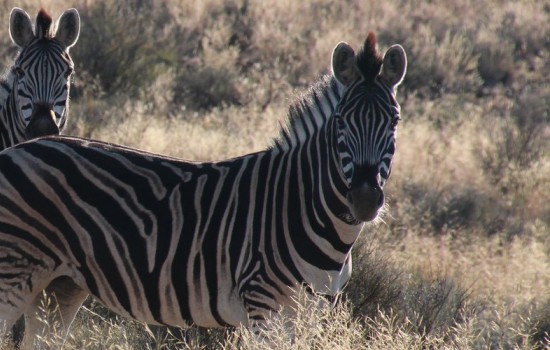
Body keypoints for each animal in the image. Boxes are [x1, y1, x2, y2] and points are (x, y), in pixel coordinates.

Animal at [0, 32, 406, 348]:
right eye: (341, 122)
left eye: (394, 122)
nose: (365, 199)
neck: (303, 204)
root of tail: (13, 150)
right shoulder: (264, 307)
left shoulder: (316, 311)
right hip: (14, 275)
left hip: (60, 286)